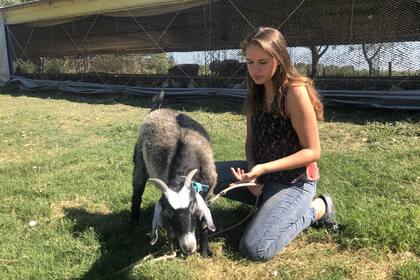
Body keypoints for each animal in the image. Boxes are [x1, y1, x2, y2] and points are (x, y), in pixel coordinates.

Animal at [130, 93, 217, 258]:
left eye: (193, 208)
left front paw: (205, 251)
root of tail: (156, 110)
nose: (188, 247)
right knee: (137, 192)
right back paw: (134, 223)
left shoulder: (208, 192)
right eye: (169, 214)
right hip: (139, 161)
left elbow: (204, 223)